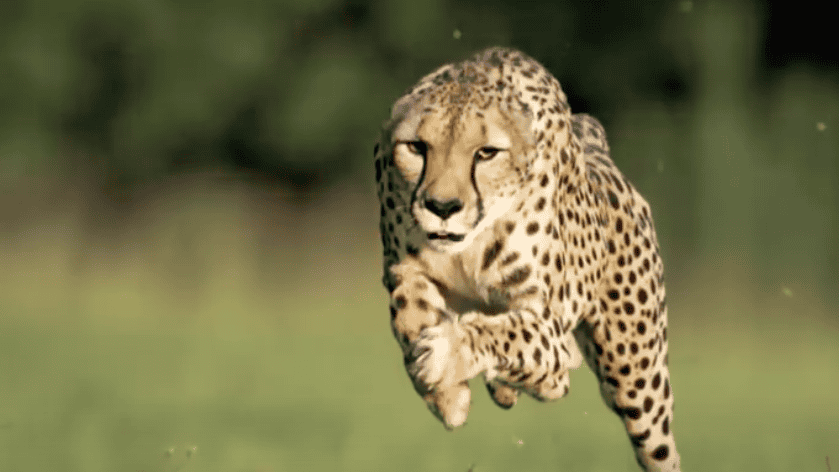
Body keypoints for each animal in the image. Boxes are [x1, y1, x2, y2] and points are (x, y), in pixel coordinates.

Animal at [374, 47, 681, 472]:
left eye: (486, 153)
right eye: (417, 148)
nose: (442, 207)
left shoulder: (547, 318)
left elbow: (511, 333)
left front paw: (447, 354)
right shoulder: (403, 268)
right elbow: (409, 315)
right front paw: (447, 397)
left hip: (637, 377)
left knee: (655, 440)